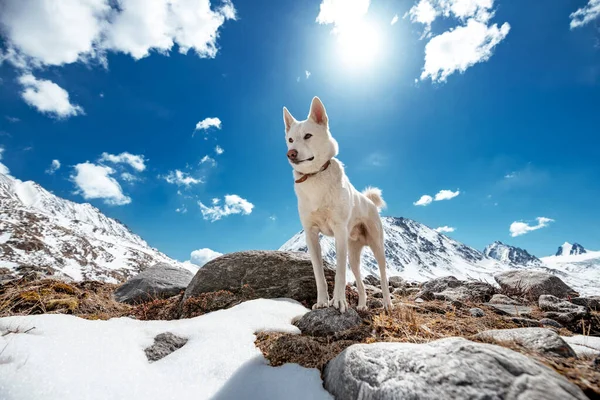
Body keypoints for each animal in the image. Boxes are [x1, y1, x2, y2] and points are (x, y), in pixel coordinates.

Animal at [282, 97, 392, 312]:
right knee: (361, 283)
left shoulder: (339, 231)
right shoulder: (311, 234)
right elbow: (319, 275)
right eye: (290, 140)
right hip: (353, 255)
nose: (291, 153)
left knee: (383, 277)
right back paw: (362, 305)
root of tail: (368, 200)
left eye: (308, 136)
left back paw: (387, 304)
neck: (315, 176)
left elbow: (340, 273)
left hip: (377, 247)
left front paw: (339, 301)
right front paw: (322, 302)